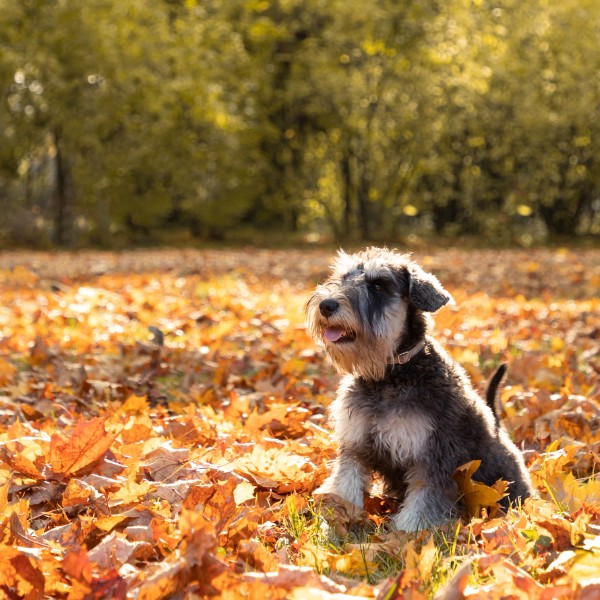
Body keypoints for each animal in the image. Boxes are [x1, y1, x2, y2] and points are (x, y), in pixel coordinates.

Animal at [308, 246, 532, 532]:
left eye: (379, 285)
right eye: (343, 277)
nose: (326, 305)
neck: (389, 376)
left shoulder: (432, 455)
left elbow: (423, 503)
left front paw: (406, 535)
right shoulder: (355, 446)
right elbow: (346, 486)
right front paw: (339, 523)